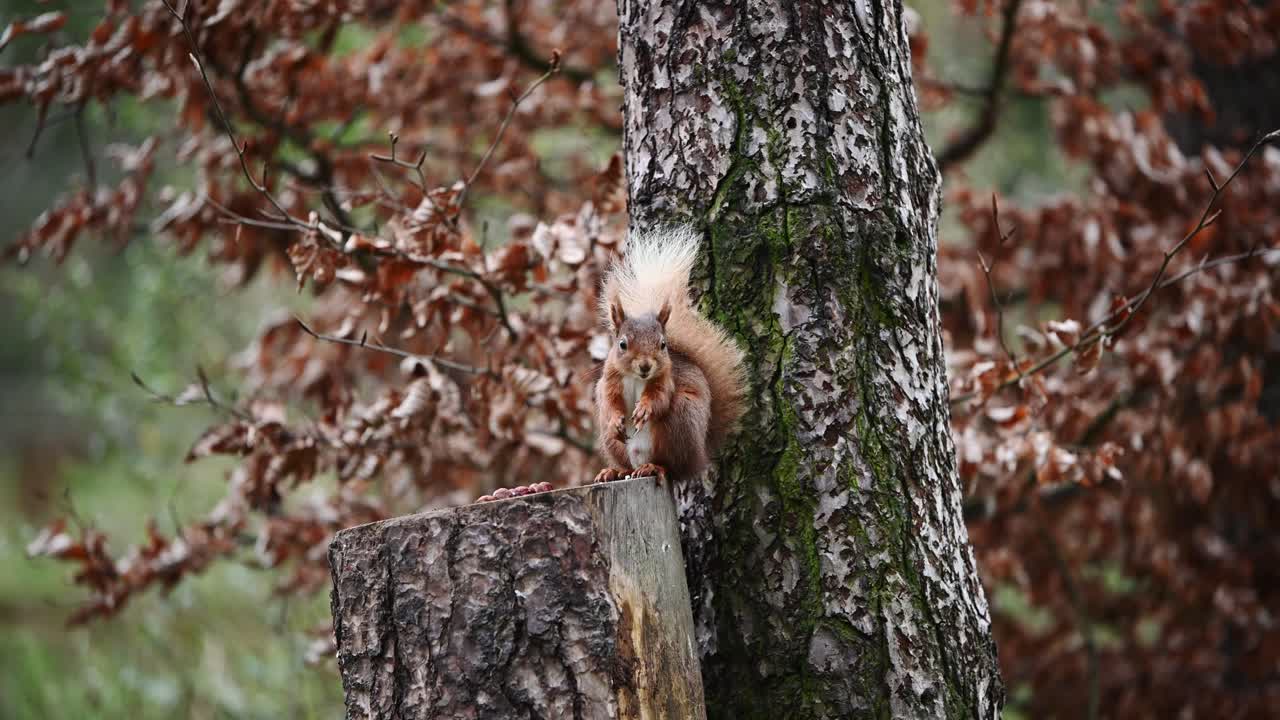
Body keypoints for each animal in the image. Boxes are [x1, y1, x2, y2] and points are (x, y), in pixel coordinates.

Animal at [592, 226, 746, 485]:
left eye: (662, 345)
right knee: (626, 463)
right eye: (622, 344)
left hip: (679, 422)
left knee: (673, 468)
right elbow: (610, 401)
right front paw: (616, 420)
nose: (645, 366)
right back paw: (615, 471)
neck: (636, 378)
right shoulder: (610, 379)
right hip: (613, 443)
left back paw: (654, 468)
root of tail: (700, 454)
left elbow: (660, 398)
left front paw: (644, 410)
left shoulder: (666, 379)